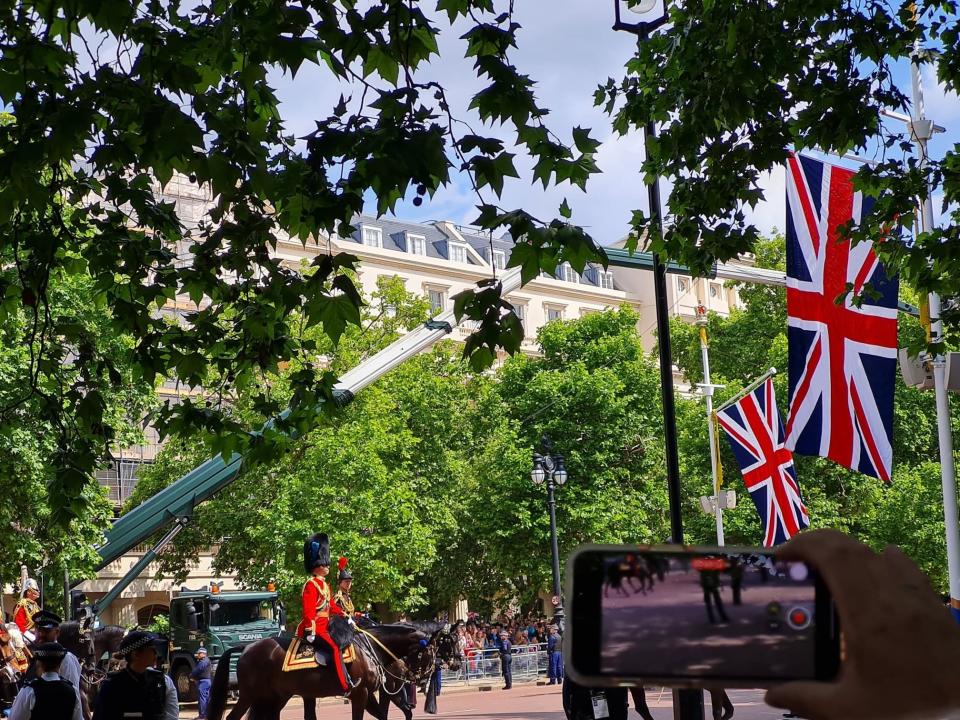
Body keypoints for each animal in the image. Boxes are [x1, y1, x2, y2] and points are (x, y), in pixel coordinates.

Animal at [209, 616, 464, 720]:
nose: (457, 662)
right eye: (449, 642)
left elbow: (383, 715)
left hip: (274, 697)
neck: (372, 647)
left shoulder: (368, 694)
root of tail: (247, 647)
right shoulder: (360, 694)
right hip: (250, 695)